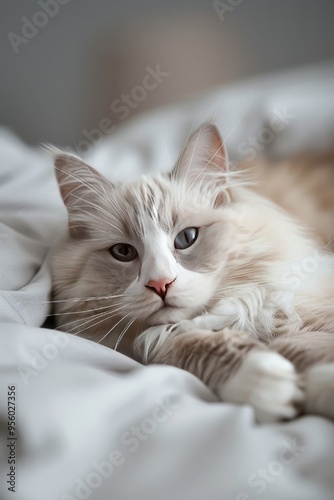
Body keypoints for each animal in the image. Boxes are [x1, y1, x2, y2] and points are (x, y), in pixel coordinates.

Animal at [50, 124, 334, 422]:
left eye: (186, 238)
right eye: (123, 252)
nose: (160, 283)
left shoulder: (294, 304)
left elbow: (303, 345)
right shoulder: (154, 342)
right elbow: (189, 346)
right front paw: (269, 384)